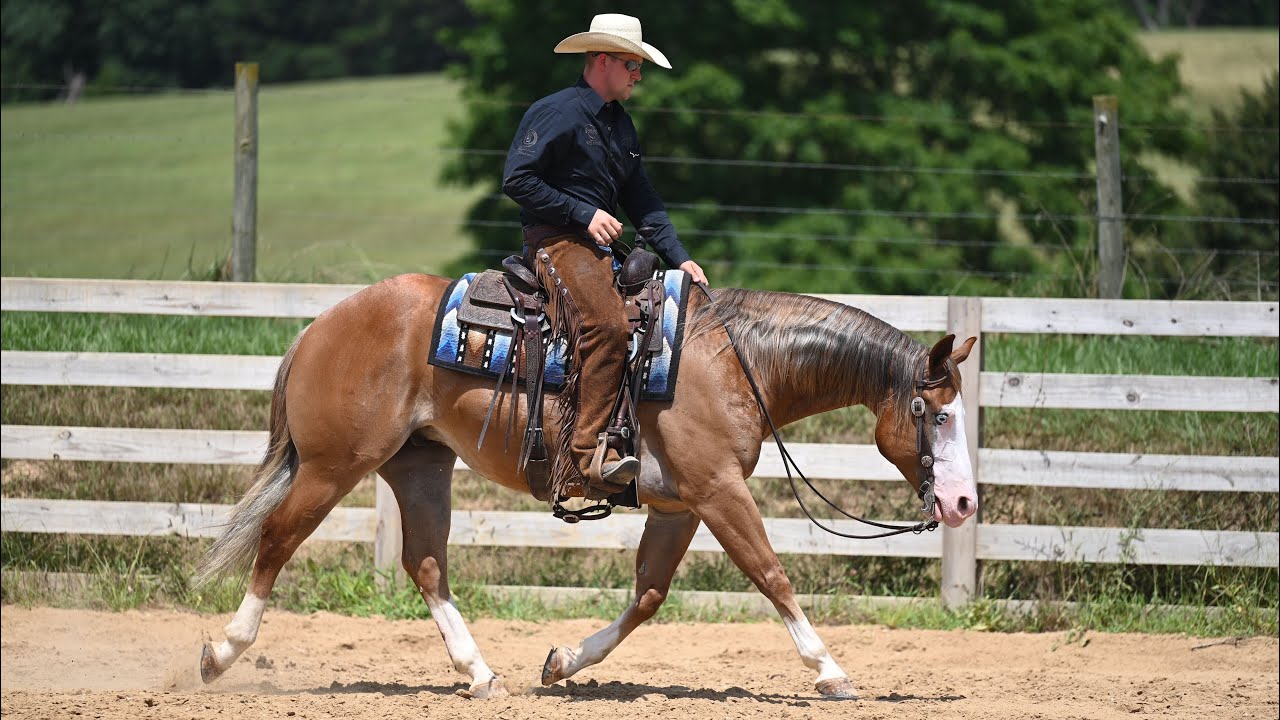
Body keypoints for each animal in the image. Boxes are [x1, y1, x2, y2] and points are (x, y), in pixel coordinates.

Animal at [192, 271, 979, 699]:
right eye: (936, 414)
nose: (963, 503)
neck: (735, 359)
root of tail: (318, 325)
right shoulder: (718, 490)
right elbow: (772, 574)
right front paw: (830, 671)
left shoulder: (681, 503)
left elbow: (650, 595)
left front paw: (563, 662)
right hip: (333, 465)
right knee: (277, 538)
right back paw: (221, 653)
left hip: (418, 466)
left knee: (426, 564)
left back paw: (481, 674)